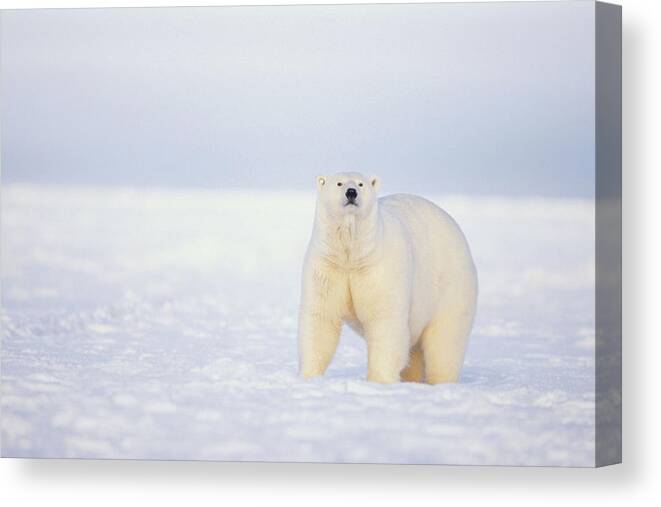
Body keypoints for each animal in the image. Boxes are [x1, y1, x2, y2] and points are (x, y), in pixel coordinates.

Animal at [296, 173, 476, 382]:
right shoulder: (328, 267)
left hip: (451, 285)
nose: (351, 192)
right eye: (339, 183)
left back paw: (441, 380)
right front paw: (309, 375)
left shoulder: (380, 270)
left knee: (445, 342)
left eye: (361, 184)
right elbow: (321, 317)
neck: (353, 255)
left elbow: (385, 318)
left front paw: (378, 379)